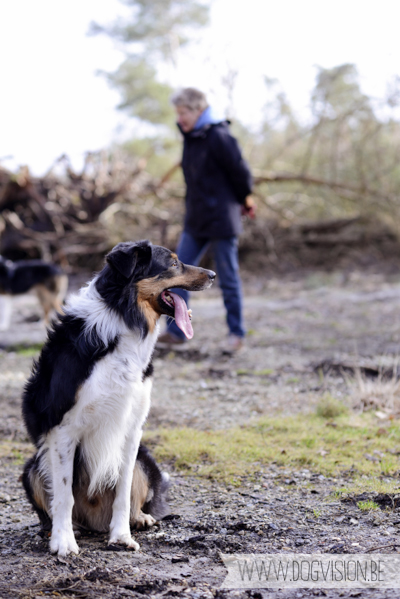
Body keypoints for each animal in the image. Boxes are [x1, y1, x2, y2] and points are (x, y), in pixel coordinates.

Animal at [21, 240, 216, 556]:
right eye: (174, 263)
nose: (212, 275)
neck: (124, 319)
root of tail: (94, 521)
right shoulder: (63, 427)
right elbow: (63, 493)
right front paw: (63, 541)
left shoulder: (132, 426)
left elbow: (123, 491)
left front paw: (121, 535)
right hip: (34, 466)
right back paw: (66, 529)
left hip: (146, 460)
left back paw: (140, 519)